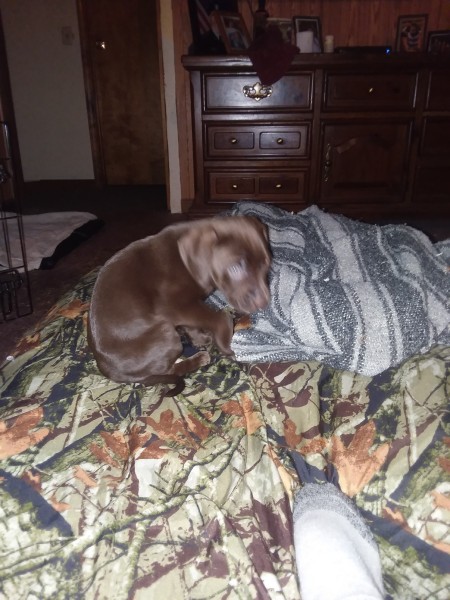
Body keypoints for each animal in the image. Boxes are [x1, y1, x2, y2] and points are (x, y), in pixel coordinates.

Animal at [88, 216, 270, 394]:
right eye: (235, 267)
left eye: (266, 265)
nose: (264, 303)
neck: (188, 264)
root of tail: (110, 372)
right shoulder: (175, 305)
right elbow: (217, 318)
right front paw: (225, 343)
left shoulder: (187, 308)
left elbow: (192, 325)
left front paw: (200, 339)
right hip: (165, 332)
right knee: (168, 370)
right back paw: (198, 359)